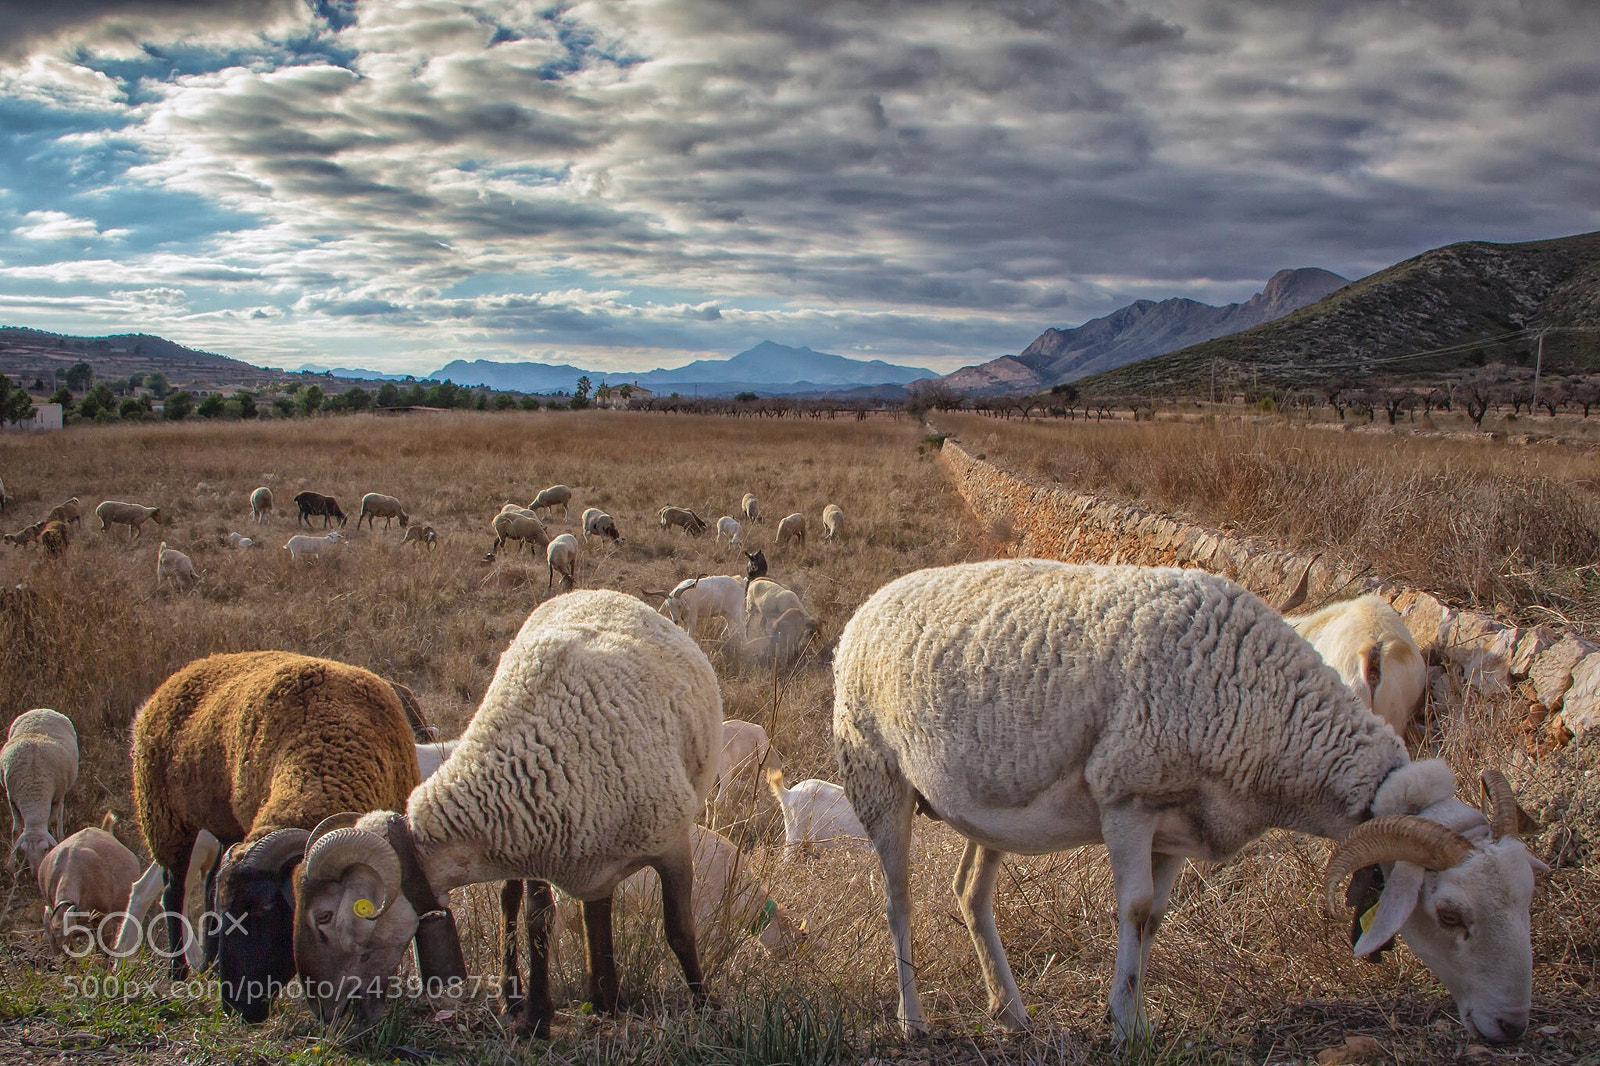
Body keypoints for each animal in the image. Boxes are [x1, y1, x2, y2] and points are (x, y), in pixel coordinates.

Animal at [2, 709, 78, 874]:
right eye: (24, 850)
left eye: (45, 849)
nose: (35, 873)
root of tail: (42, 710)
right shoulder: (12, 799)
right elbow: (15, 831)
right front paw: (11, 863)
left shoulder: (56, 796)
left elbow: (54, 821)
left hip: (63, 789)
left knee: (60, 812)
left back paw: (61, 834)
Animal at [129, 650, 422, 1021]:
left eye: (265, 908)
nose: (236, 1006)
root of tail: (185, 671)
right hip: (165, 820)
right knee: (172, 892)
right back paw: (178, 971)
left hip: (221, 828)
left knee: (207, 883)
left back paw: (207, 965)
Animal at [290, 590, 721, 1035]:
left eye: (323, 917)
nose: (322, 1011)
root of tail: (593, 591)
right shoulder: (537, 842)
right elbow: (538, 922)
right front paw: (536, 1014)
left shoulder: (672, 845)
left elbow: (679, 930)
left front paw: (708, 1010)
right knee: (516, 904)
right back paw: (531, 994)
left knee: (596, 910)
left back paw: (607, 998)